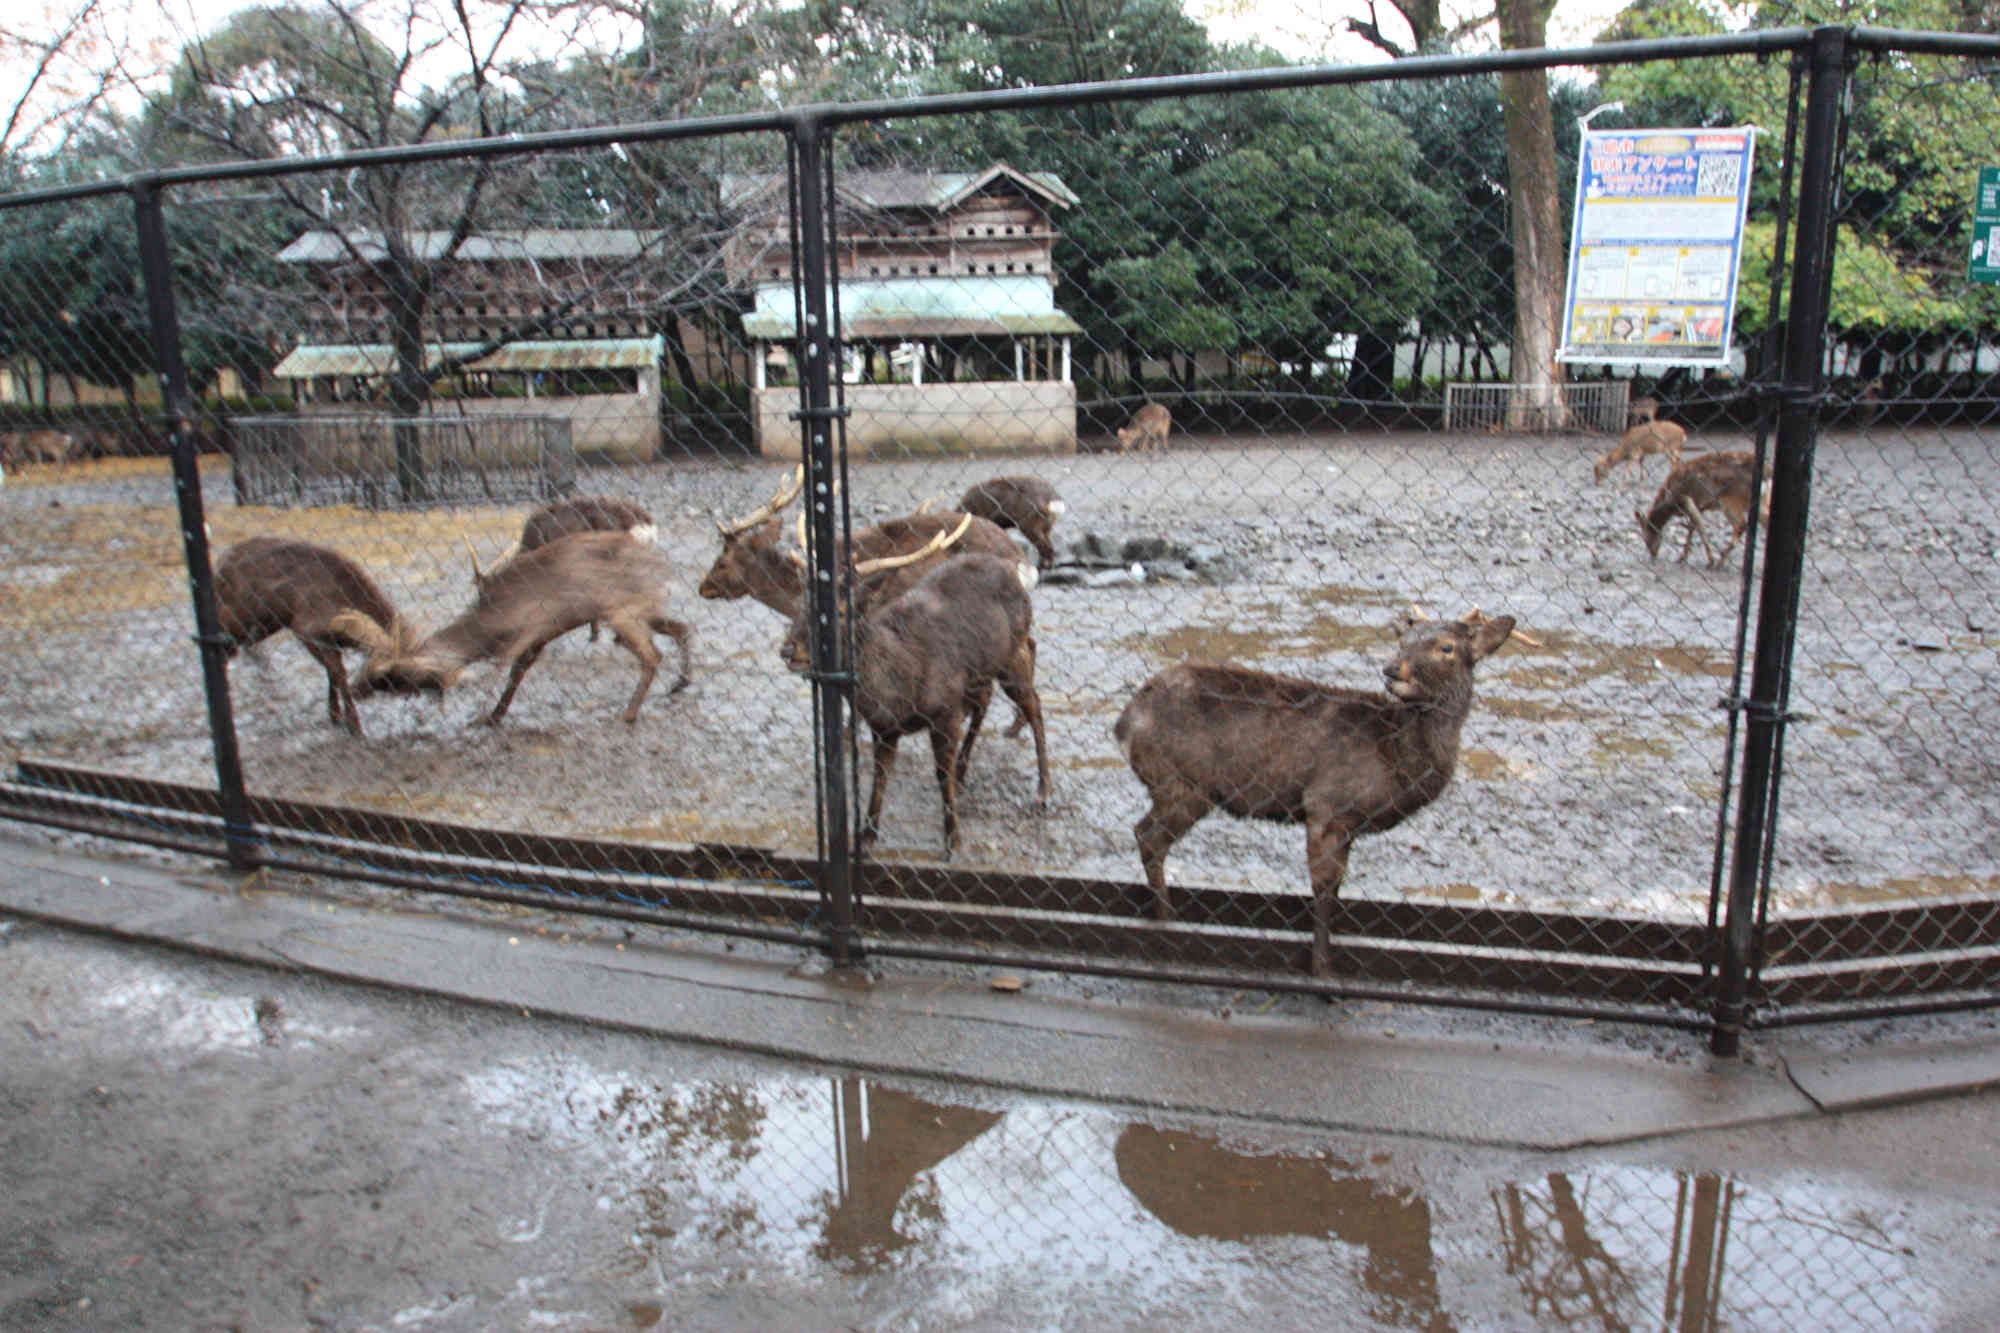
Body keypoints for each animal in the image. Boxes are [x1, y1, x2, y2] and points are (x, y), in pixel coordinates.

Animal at [213, 532, 416, 736]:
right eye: (386, 676)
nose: (359, 691)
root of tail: (221, 565)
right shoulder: (308, 634)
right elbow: (337, 673)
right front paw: (353, 726)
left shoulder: (329, 643)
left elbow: (332, 673)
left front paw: (335, 716)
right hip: (238, 620)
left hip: (266, 623)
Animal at [780, 512, 1056, 856]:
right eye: (798, 602)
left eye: (840, 612)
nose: (788, 650)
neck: (895, 687)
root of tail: (1017, 570)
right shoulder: (884, 728)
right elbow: (881, 777)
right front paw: (866, 837)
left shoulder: (945, 712)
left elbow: (939, 775)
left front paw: (953, 841)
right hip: (979, 672)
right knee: (985, 701)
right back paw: (965, 772)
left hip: (1011, 655)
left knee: (1033, 704)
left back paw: (1043, 790)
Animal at [1112, 608, 1512, 972]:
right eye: (1402, 641)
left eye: (1446, 647)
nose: (1392, 669)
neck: (1395, 756)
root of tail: (1125, 723)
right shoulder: (1327, 803)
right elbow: (1323, 886)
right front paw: (1322, 969)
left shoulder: (1348, 824)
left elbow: (1337, 886)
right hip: (1182, 782)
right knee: (1148, 836)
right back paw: (1166, 921)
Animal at [1632, 452, 1776, 564]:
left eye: (1645, 537)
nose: (1652, 554)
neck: (1669, 503)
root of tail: (1768, 475)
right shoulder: (1701, 506)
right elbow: (1693, 527)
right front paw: (1686, 556)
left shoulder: (1687, 500)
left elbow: (1698, 527)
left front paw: (1699, 558)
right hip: (1761, 502)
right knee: (1763, 521)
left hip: (1731, 500)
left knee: (1741, 525)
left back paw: (1720, 561)